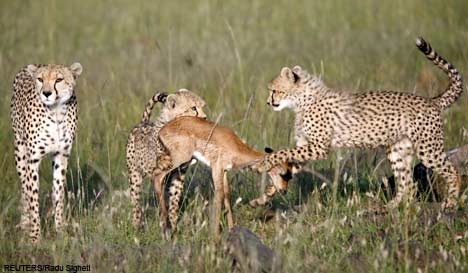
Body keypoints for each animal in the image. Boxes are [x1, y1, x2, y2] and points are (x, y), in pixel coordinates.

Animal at [10, 63, 83, 242]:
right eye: (40, 79)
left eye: (59, 79)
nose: (47, 93)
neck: (55, 112)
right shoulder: (33, 160)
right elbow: (33, 196)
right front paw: (35, 237)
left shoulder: (61, 156)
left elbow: (58, 193)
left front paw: (60, 230)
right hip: (20, 152)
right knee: (24, 188)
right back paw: (25, 223)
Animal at [124, 88, 207, 227]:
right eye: (193, 108)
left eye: (202, 107)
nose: (205, 118)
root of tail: (143, 123)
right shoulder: (157, 170)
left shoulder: (178, 172)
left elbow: (175, 197)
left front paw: (173, 221)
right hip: (134, 174)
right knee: (135, 201)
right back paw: (136, 225)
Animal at [256, 37, 464, 209]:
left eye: (274, 91)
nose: (267, 102)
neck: (303, 100)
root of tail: (432, 100)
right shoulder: (307, 146)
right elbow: (288, 165)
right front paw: (267, 195)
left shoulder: (319, 147)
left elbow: (282, 152)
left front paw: (263, 163)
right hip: (397, 150)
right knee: (408, 185)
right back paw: (393, 208)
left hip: (428, 149)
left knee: (452, 172)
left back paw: (450, 203)